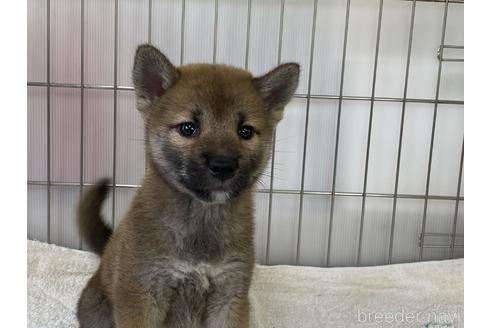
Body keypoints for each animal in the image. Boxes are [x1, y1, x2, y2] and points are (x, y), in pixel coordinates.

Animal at [77, 44, 300, 328]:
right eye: (188, 128)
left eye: (246, 131)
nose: (223, 164)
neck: (201, 221)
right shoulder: (142, 293)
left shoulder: (230, 295)